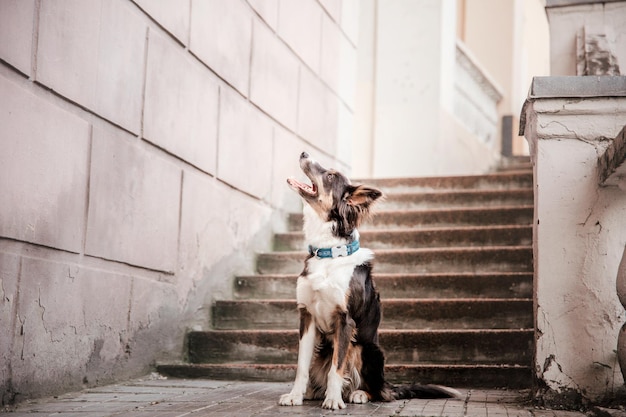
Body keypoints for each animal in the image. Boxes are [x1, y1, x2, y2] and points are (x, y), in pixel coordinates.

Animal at [280, 151, 458, 408]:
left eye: (331, 175)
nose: (304, 153)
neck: (329, 254)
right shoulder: (307, 316)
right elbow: (302, 366)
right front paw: (295, 395)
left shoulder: (345, 320)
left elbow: (337, 367)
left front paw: (333, 399)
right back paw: (314, 391)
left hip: (368, 350)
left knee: (378, 391)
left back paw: (358, 393)